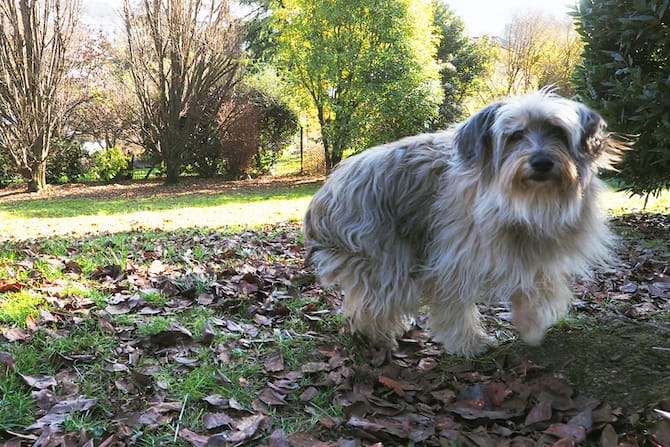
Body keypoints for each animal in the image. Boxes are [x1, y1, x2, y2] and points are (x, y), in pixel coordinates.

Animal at [302, 91, 628, 356]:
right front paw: (469, 342)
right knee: (373, 300)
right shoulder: (453, 256)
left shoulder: (535, 251)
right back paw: (375, 335)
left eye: (557, 131)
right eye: (515, 136)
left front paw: (532, 326)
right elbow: (454, 302)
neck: (523, 201)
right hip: (385, 254)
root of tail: (323, 196)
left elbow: (538, 286)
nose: (541, 162)